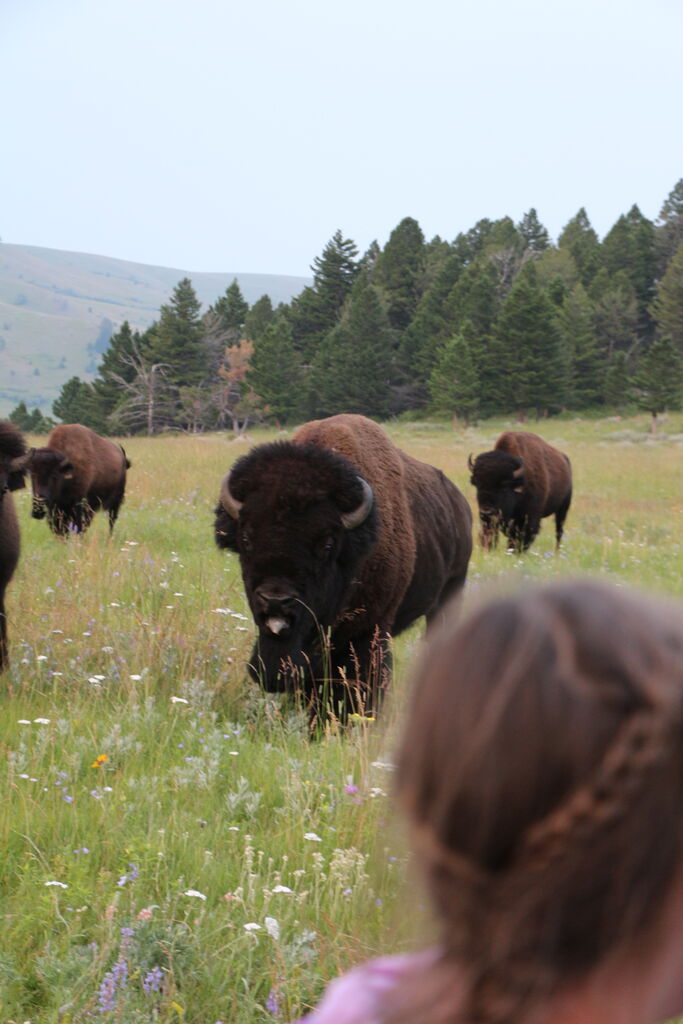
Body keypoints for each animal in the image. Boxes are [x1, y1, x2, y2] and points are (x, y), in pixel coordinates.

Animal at [216, 411, 473, 716]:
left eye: (327, 544)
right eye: (245, 537)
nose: (276, 599)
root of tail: (460, 505)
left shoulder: (370, 631)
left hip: (450, 594)